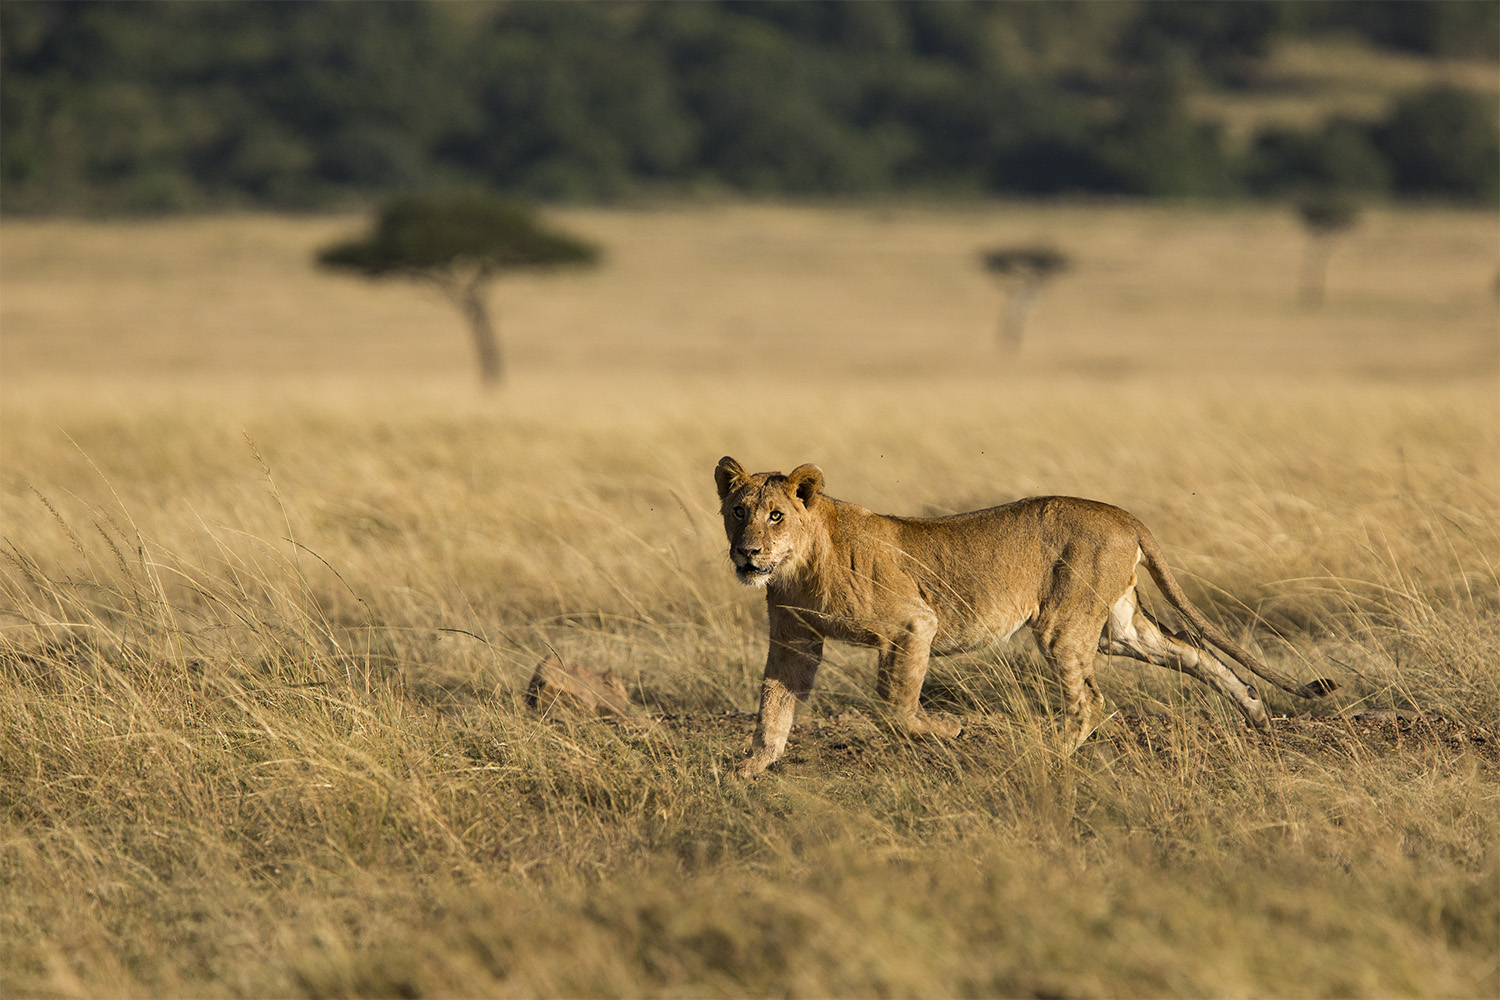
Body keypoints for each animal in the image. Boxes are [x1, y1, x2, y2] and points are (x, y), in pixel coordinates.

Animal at [714, 458, 1338, 779]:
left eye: (776, 515)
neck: (798, 566)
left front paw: (951, 732)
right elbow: (774, 705)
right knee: (1191, 650)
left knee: (1092, 700)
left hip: (1064, 624)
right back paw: (1254, 712)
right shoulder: (794, 638)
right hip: (1119, 630)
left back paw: (1046, 757)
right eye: (738, 511)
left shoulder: (914, 624)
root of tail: (1123, 514)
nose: (747, 553)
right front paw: (750, 768)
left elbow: (896, 707)